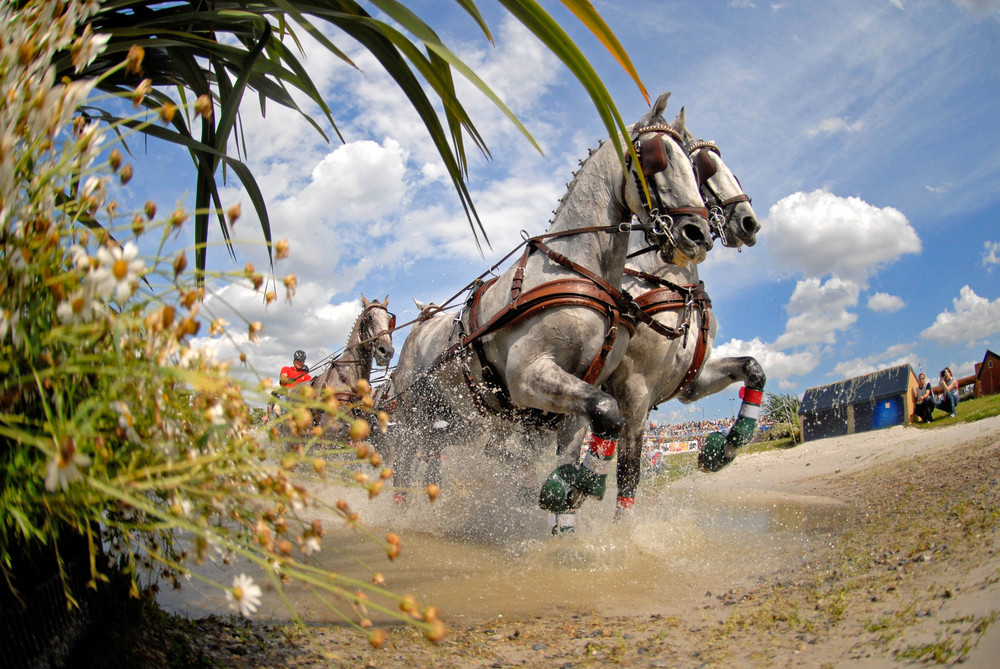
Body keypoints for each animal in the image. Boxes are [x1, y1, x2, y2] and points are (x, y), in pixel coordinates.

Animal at [382, 92, 712, 512]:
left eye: (695, 168)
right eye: (656, 156)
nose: (698, 233)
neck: (578, 268)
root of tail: (422, 325)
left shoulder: (582, 396)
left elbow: (598, 421)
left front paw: (568, 494)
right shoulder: (527, 375)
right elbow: (609, 413)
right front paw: (582, 484)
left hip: (452, 418)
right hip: (412, 414)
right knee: (405, 462)